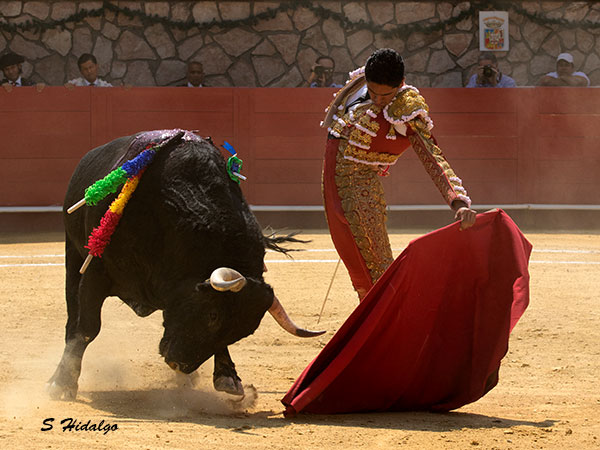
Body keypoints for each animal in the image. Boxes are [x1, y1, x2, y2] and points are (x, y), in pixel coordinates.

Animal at [48, 130, 324, 400]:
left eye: (242, 333)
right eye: (212, 315)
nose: (179, 365)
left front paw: (228, 378)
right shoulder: (97, 273)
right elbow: (87, 328)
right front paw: (61, 385)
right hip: (74, 257)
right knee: (73, 317)